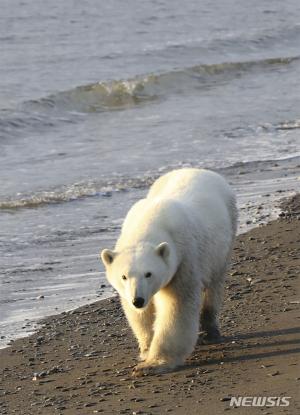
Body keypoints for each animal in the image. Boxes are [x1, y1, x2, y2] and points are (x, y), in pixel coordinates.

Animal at [101, 169, 237, 376]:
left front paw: (154, 364)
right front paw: (146, 350)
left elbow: (177, 307)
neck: (148, 223)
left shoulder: (184, 258)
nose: (138, 300)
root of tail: (197, 169)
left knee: (215, 284)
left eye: (149, 273)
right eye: (124, 276)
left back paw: (211, 331)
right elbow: (141, 315)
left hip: (225, 237)